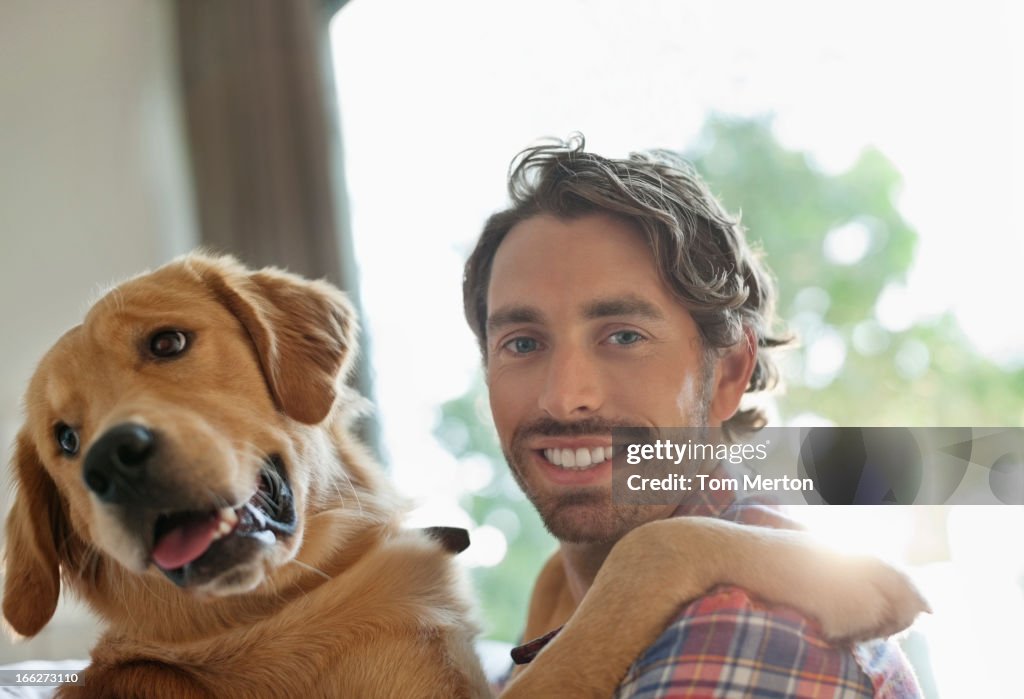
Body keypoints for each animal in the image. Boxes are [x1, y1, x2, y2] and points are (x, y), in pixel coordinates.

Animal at [2, 253, 929, 695]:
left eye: (167, 341)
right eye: (62, 438)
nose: (107, 459)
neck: (294, 592)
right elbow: (645, 552)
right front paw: (845, 574)